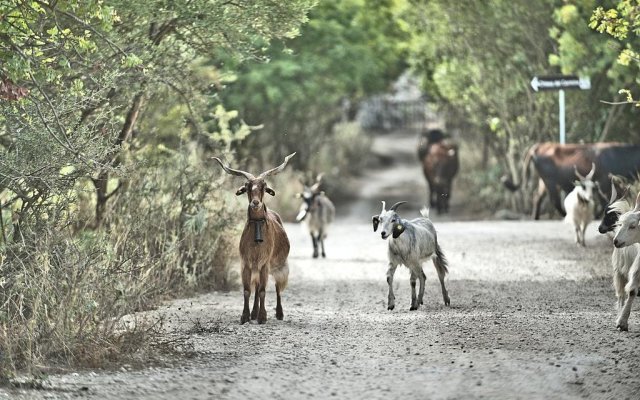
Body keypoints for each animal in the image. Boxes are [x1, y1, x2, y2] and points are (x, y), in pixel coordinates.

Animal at [214, 153, 296, 324]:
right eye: (247, 187)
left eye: (264, 186)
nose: (256, 203)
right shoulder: (246, 263)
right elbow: (247, 290)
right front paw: (245, 316)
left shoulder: (265, 263)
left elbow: (264, 290)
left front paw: (263, 317)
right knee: (257, 288)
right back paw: (254, 312)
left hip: (279, 266)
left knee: (277, 288)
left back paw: (279, 313)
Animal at [502, 143, 640, 220]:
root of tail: (540, 146)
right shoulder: (604, 182)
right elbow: (605, 201)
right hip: (550, 181)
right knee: (554, 200)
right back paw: (564, 215)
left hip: (544, 182)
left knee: (537, 197)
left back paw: (535, 217)